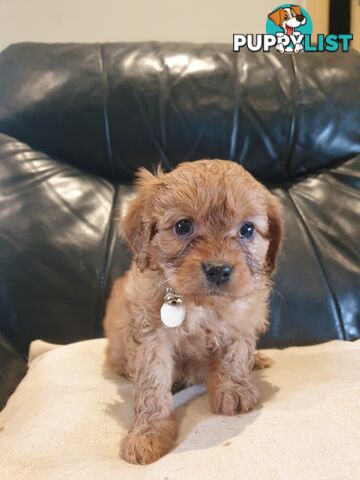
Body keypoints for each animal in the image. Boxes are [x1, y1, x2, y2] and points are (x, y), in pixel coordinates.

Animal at [102, 159, 282, 464]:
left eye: (247, 230)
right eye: (183, 226)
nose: (219, 269)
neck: (201, 305)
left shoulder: (244, 317)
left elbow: (235, 355)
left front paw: (232, 389)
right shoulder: (151, 336)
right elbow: (151, 383)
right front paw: (148, 433)